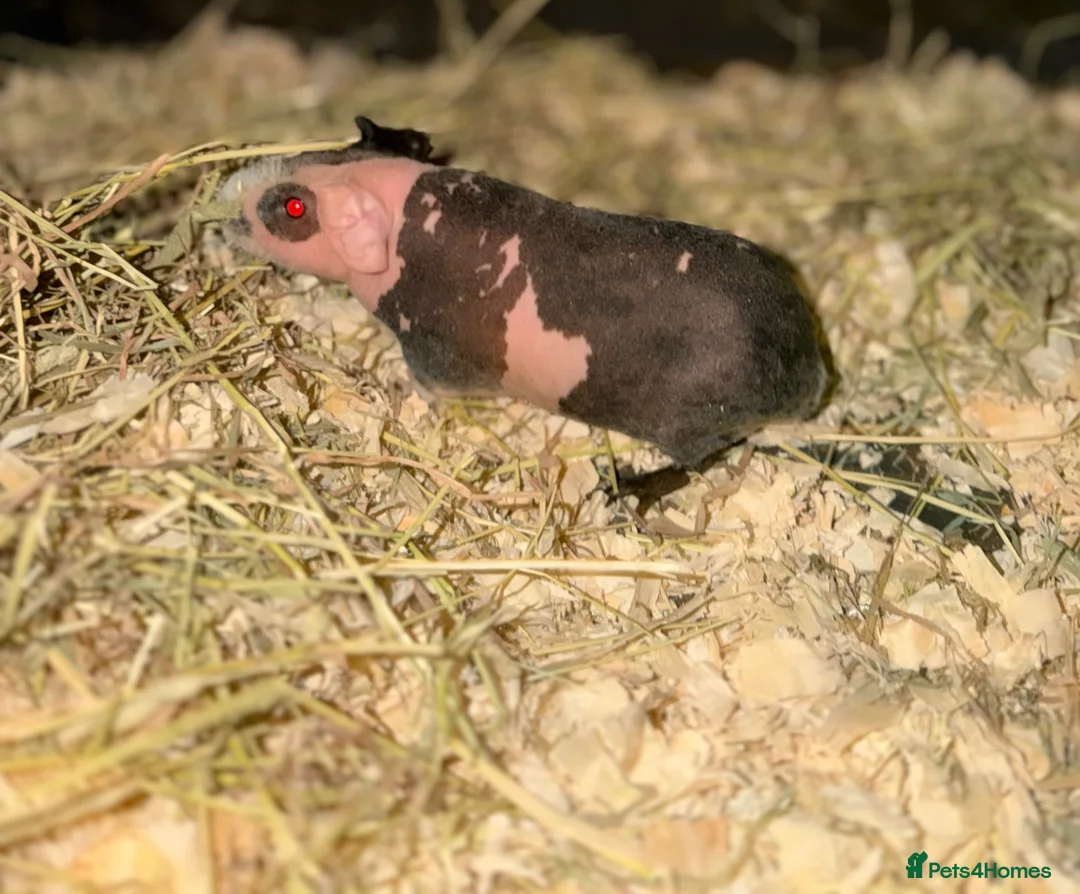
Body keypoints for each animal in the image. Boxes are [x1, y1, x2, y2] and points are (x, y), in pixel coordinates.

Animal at [217, 116, 829, 499]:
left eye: (293, 208)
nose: (226, 198)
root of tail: (808, 371)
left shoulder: (434, 356)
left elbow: (427, 386)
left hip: (691, 424)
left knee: (697, 462)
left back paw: (625, 491)